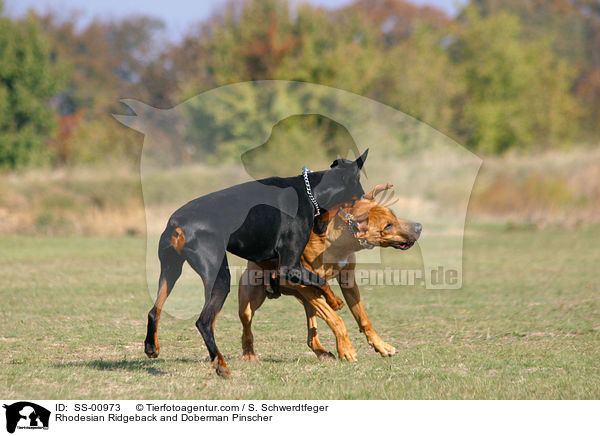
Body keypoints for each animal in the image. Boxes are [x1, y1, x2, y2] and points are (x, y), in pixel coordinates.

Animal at [146, 149, 370, 374]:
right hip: (219, 277)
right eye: (358, 197)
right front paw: (335, 301)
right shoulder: (290, 267)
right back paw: (221, 366)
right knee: (204, 322)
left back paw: (151, 347)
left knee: (154, 311)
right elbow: (320, 281)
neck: (310, 193)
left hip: (170, 270)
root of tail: (177, 224)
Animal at [237, 184, 420, 362]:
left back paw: (322, 352)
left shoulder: (348, 281)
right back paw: (249, 355)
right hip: (250, 302)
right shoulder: (295, 280)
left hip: (307, 303)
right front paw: (346, 349)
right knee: (246, 330)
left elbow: (363, 318)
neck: (335, 243)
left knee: (312, 334)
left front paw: (381, 345)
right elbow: (334, 318)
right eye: (387, 226)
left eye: (394, 216)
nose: (419, 226)